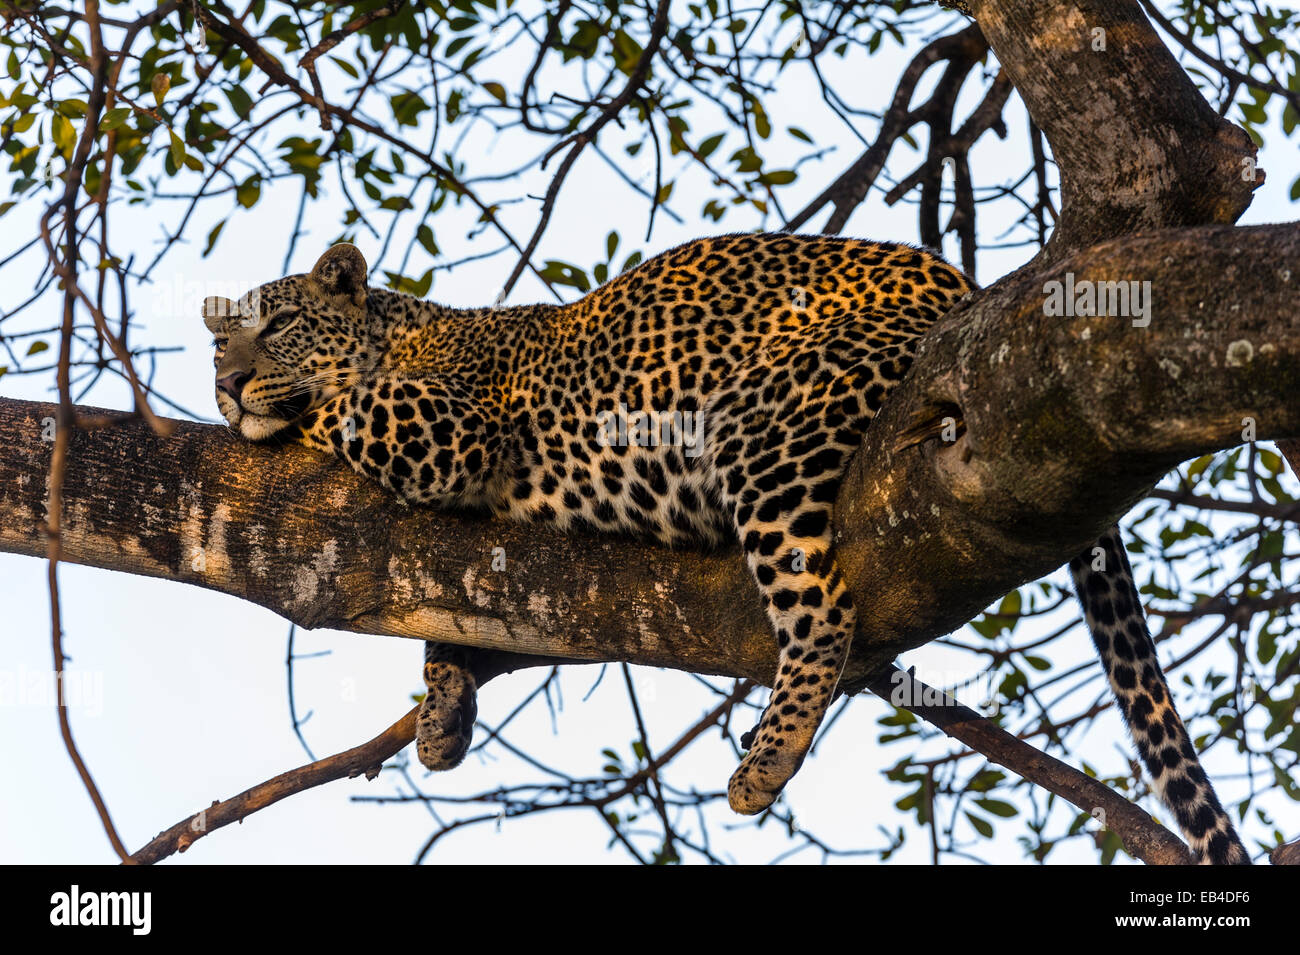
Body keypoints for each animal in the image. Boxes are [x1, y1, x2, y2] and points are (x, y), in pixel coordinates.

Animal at [202, 233, 1248, 867]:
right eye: (218, 343)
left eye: (280, 324)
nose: (224, 379)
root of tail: (964, 286)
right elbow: (444, 613)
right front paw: (442, 715)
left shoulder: (447, 426)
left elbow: (337, 408)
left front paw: (270, 411)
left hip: (767, 423)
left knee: (821, 609)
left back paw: (768, 758)